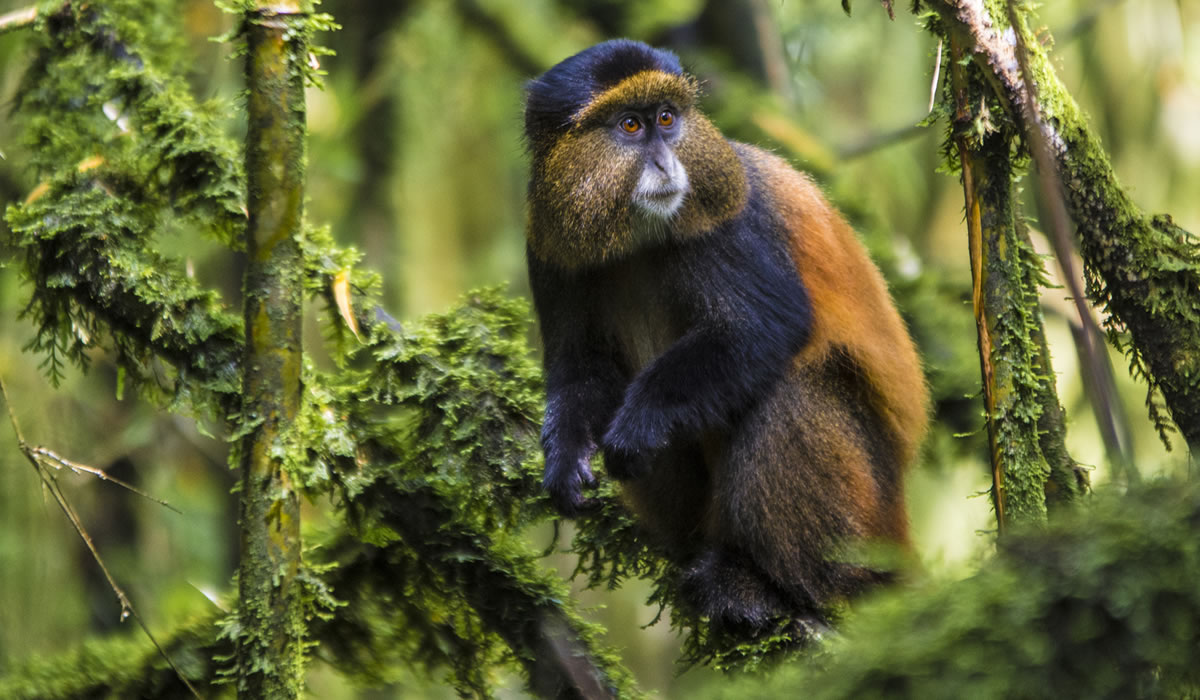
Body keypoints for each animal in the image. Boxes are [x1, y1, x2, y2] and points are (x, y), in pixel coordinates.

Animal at [523, 39, 929, 632]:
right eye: (630, 125)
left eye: (667, 119)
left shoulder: (725, 222)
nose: (666, 162)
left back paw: (768, 586)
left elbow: (762, 328)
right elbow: (581, 368)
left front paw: (639, 423)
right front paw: (565, 457)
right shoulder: (549, 247)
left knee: (791, 389)